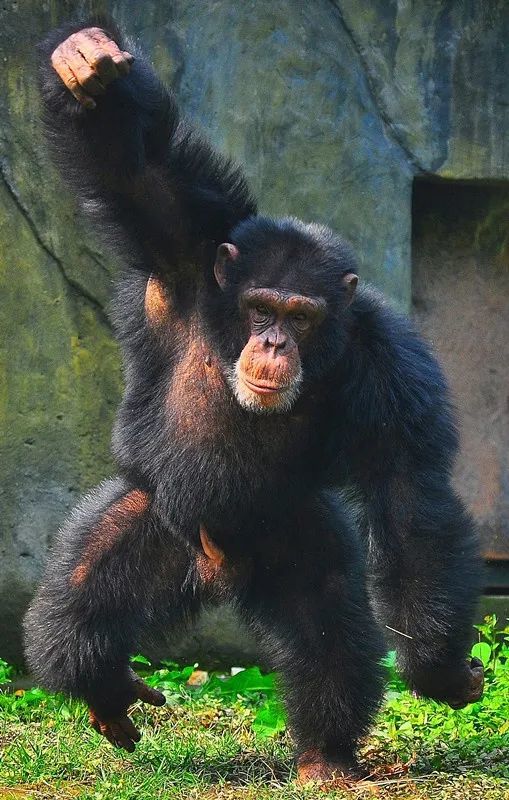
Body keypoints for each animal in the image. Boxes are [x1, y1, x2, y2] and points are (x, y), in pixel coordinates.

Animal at [23, 17, 482, 780]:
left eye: (302, 316)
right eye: (262, 306)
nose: (272, 342)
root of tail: (214, 572)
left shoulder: (392, 369)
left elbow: (406, 496)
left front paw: (439, 668)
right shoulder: (182, 245)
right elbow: (135, 174)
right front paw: (84, 67)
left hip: (292, 532)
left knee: (328, 623)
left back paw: (325, 754)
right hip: (158, 517)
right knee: (81, 589)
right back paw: (102, 683)